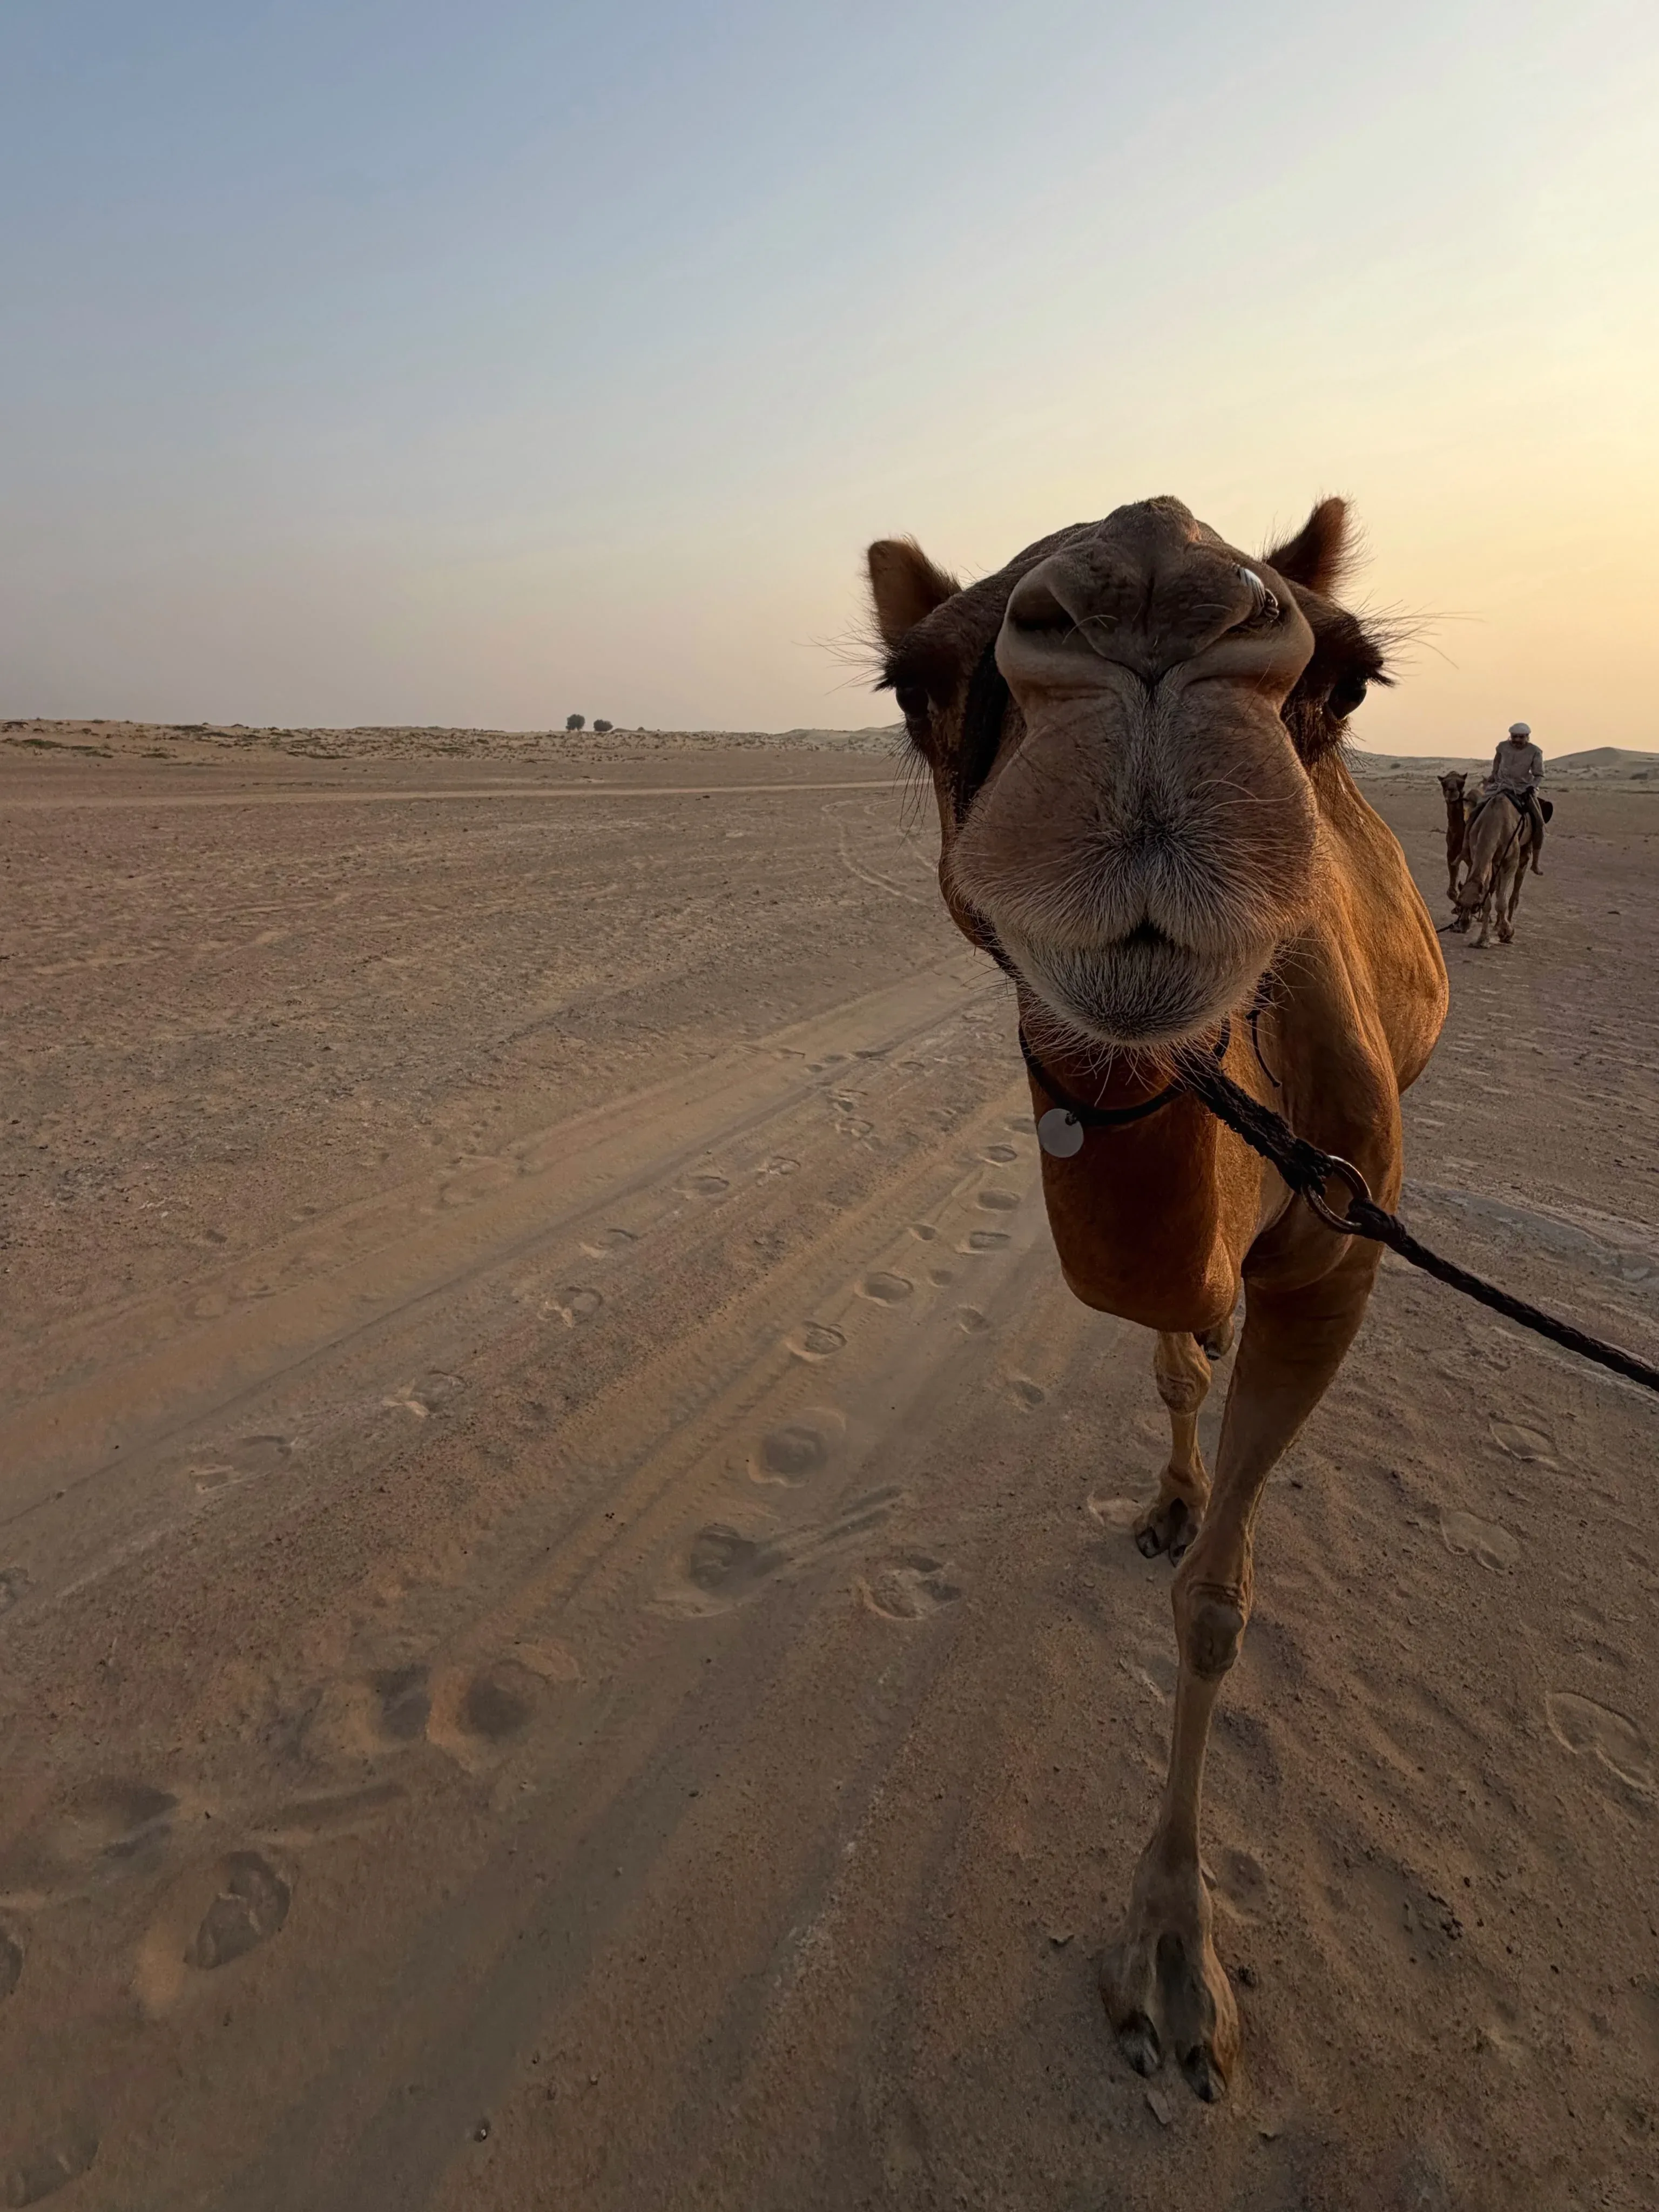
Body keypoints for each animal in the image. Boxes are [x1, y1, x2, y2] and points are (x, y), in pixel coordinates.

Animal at [867, 495, 1448, 2099]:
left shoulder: (1344, 1244)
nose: (1144, 582)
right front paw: (1174, 1495)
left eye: (1347, 681)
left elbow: (1215, 1610)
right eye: (912, 686)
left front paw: (1178, 1974)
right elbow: (1178, 1356)